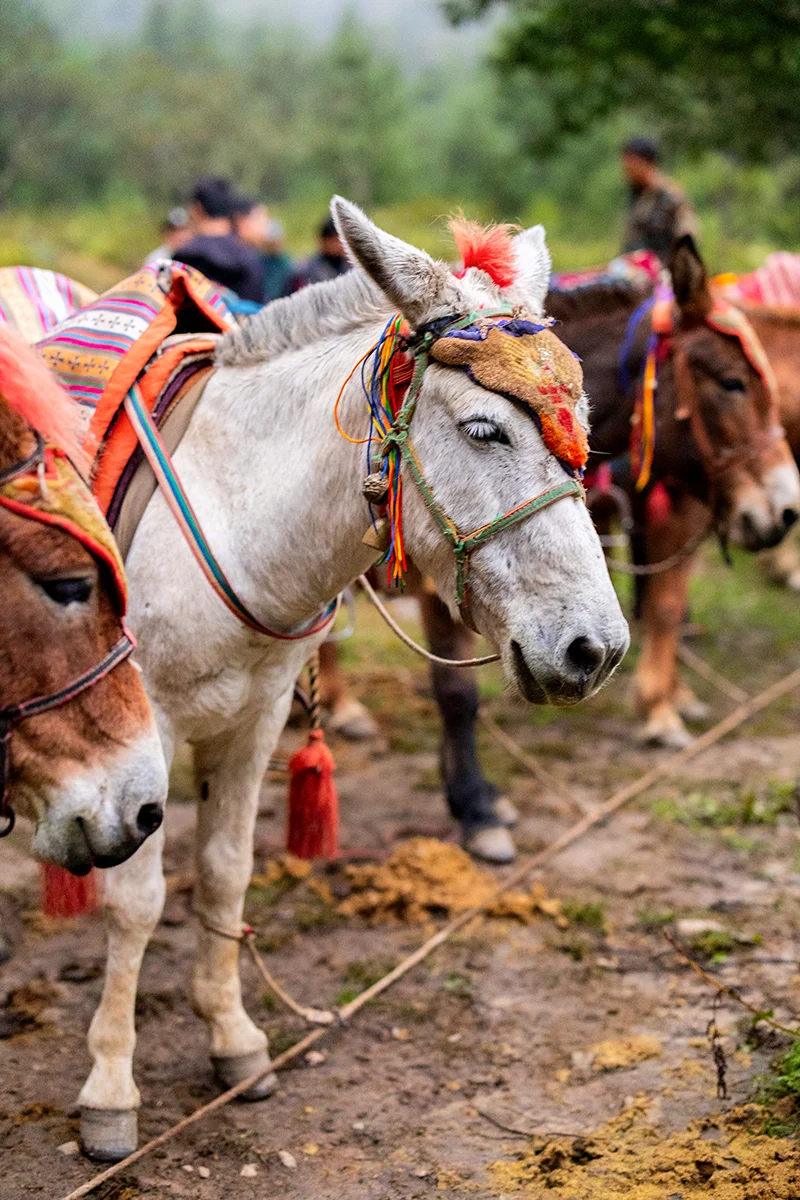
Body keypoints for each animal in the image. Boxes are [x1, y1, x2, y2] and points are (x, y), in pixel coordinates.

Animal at [70, 201, 629, 1160]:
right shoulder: (147, 732)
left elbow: (225, 871)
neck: (231, 506)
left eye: (582, 424)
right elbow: (137, 901)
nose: (597, 649)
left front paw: (234, 1042)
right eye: (485, 430)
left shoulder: (254, 717)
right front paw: (111, 1089)